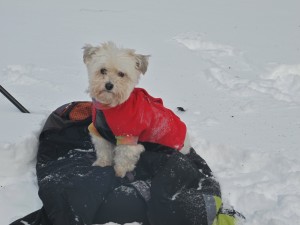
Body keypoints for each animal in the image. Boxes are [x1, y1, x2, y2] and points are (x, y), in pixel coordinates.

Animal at [82, 42, 190, 178]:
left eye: (121, 74)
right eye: (103, 70)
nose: (109, 85)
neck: (111, 106)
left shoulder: (128, 138)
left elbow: (123, 158)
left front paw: (120, 172)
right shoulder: (99, 132)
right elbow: (104, 151)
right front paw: (102, 164)